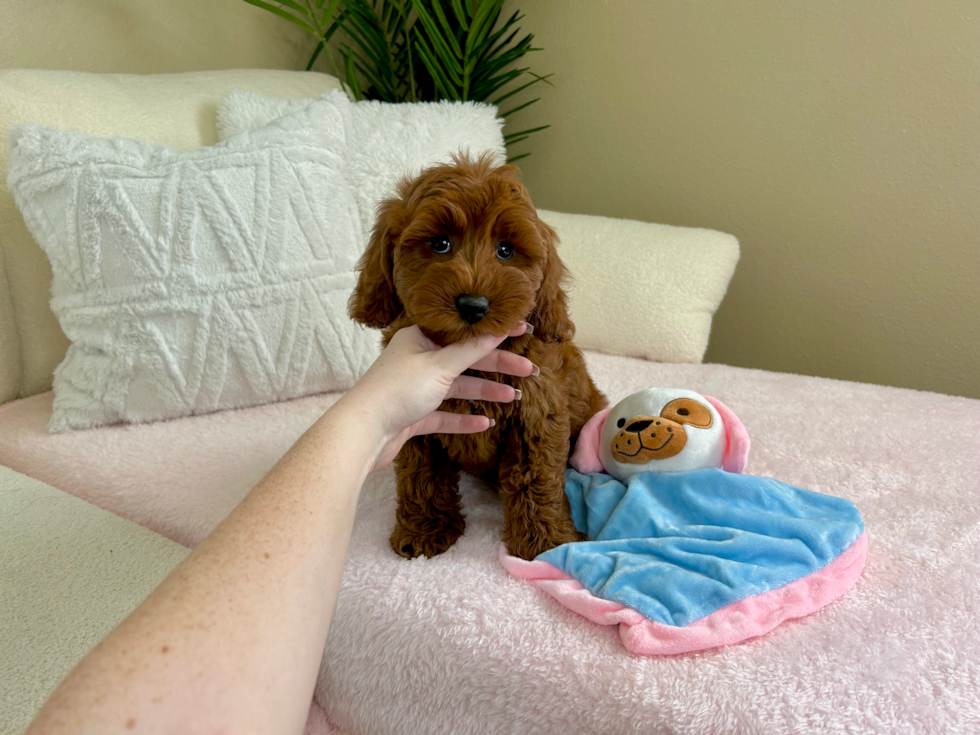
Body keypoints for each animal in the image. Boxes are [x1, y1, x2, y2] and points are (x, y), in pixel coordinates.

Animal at [348, 152, 608, 560]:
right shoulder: (420, 425)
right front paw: (425, 530)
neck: (470, 362)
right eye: (440, 244)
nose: (473, 305)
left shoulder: (535, 411)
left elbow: (536, 479)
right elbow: (421, 475)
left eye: (505, 250)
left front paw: (546, 543)